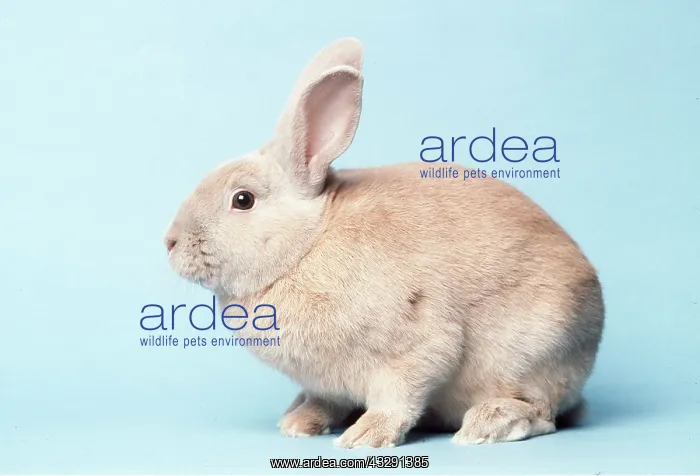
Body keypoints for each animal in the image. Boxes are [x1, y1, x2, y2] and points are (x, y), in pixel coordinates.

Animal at [164, 37, 605, 448]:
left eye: (243, 200)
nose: (169, 242)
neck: (307, 246)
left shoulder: (416, 348)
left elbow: (400, 397)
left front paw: (365, 436)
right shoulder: (327, 383)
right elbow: (325, 400)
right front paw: (299, 424)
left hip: (536, 354)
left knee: (542, 413)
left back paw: (487, 425)